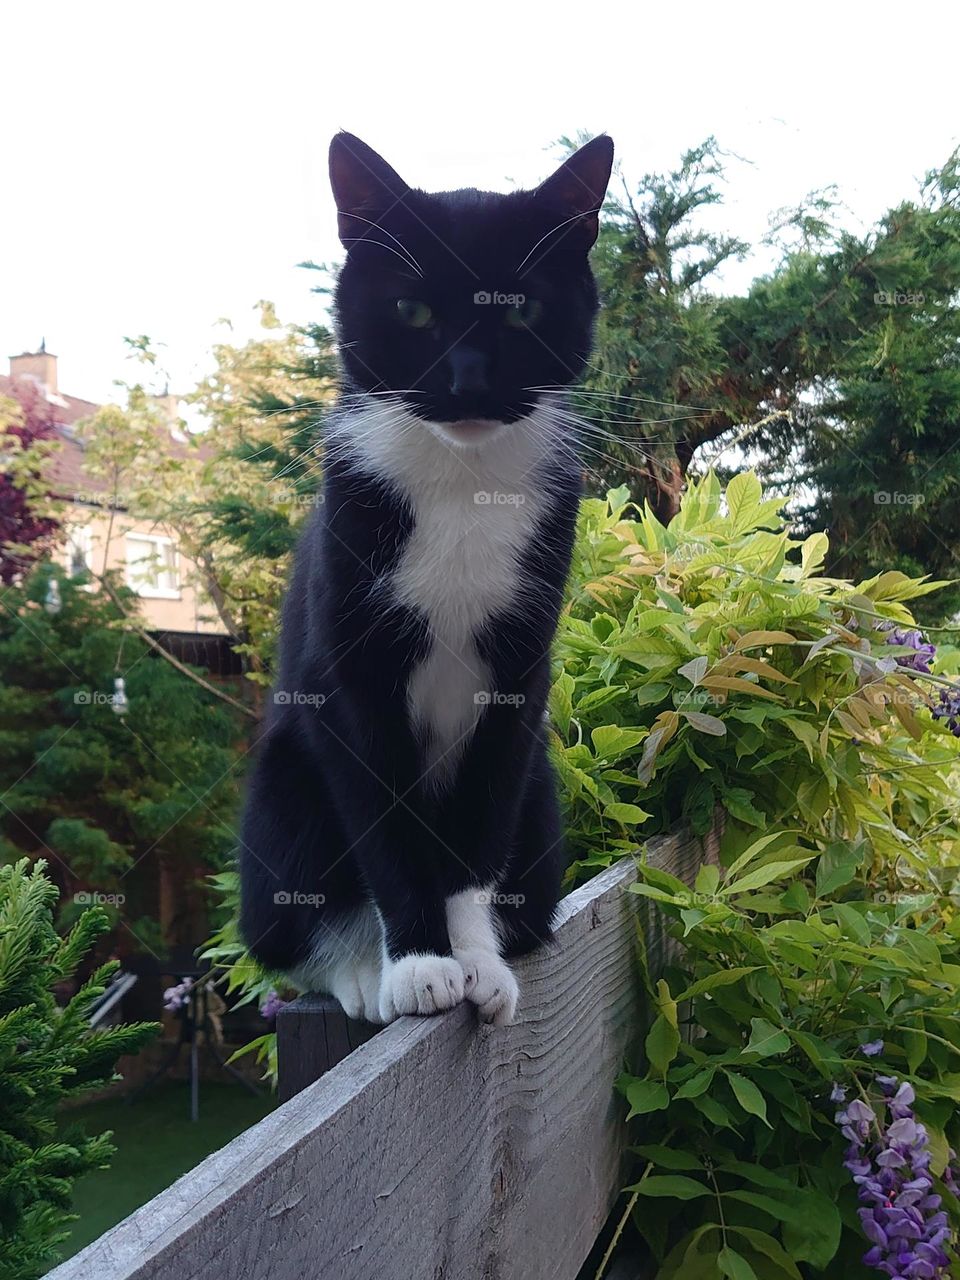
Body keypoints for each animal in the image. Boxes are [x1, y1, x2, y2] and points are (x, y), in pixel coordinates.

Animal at [240, 129, 616, 1029]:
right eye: (412, 311)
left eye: (519, 309)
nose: (469, 378)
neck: (461, 484)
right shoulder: (351, 675)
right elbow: (387, 827)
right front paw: (415, 964)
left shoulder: (519, 671)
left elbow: (476, 829)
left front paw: (473, 959)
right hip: (280, 794)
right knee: (290, 929)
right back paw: (362, 972)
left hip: (543, 797)